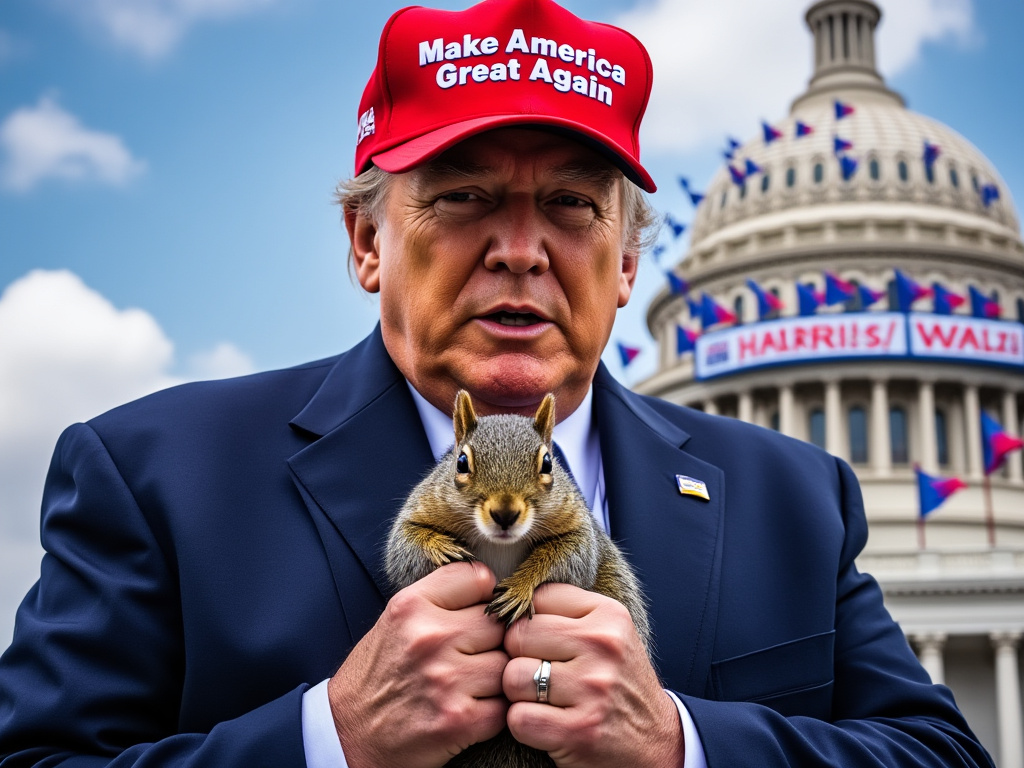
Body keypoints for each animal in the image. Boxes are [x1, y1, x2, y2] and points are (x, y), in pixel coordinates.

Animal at [385, 390, 651, 768]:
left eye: (548, 464)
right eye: (461, 462)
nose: (505, 513)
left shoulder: (578, 528)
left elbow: (569, 557)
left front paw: (520, 587)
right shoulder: (421, 507)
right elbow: (402, 549)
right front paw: (441, 548)